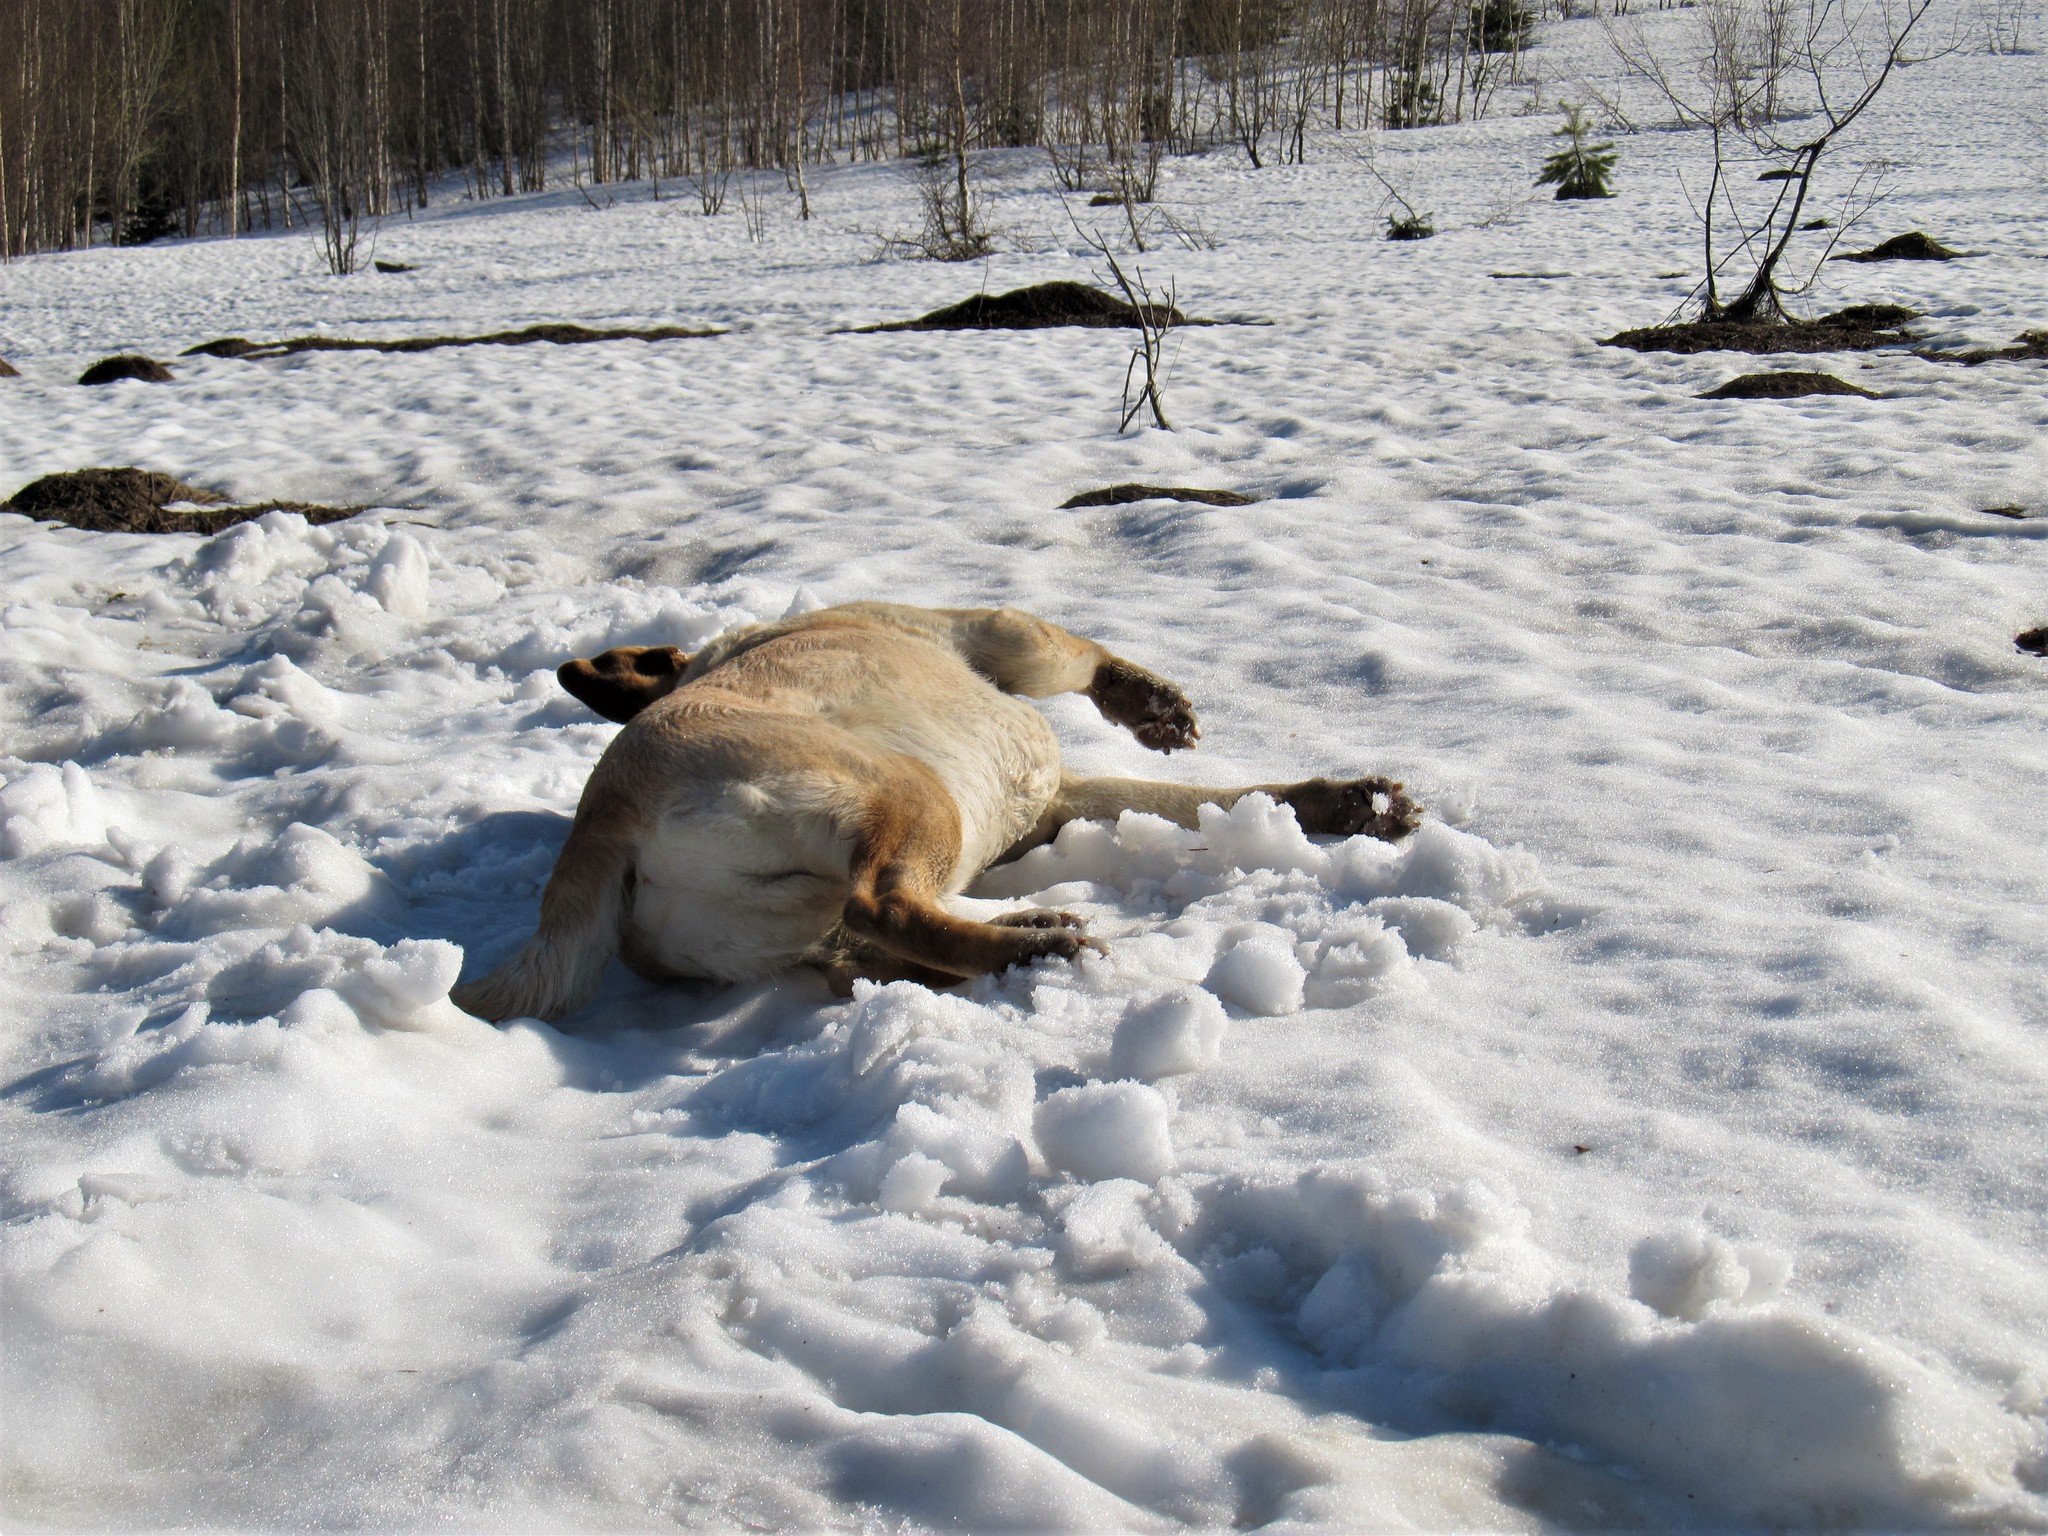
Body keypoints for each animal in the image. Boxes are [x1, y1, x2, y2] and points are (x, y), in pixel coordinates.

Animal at [458, 606, 1425, 1028]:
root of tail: (606, 817)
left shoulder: (1060, 796)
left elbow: (1202, 802)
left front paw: (1353, 803)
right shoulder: (993, 632)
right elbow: (1079, 656)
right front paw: (1149, 703)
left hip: (776, 922)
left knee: (866, 948)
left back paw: (1025, 929)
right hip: (906, 792)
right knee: (881, 904)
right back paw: (1036, 950)